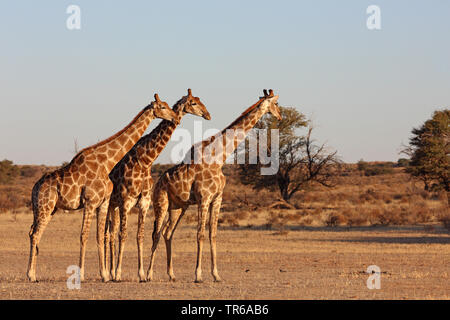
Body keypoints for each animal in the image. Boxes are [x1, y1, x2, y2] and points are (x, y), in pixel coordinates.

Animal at [25, 93, 178, 282]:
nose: (175, 117)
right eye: (163, 107)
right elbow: (84, 235)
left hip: (47, 209)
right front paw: (82, 274)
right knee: (35, 234)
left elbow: (100, 236)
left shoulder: (103, 203)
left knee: (34, 233)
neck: (106, 163)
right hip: (44, 207)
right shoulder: (90, 202)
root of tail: (34, 189)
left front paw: (105, 275)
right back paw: (31, 275)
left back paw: (33, 274)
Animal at [105, 89, 211, 282]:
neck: (144, 161)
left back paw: (110, 271)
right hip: (110, 203)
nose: (208, 115)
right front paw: (119, 273)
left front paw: (141, 274)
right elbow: (123, 234)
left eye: (199, 100)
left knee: (111, 233)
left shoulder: (144, 201)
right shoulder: (126, 201)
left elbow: (139, 235)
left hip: (113, 205)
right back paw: (109, 273)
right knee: (109, 234)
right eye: (193, 102)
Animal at [148, 89, 282, 282]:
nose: (280, 116)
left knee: (168, 233)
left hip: (178, 207)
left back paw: (171, 274)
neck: (218, 158)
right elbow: (200, 234)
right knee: (156, 233)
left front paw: (216, 274)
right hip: (161, 203)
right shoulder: (204, 198)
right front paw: (198, 275)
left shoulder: (217, 199)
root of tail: (157, 183)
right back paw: (147, 274)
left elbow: (213, 234)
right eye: (276, 103)